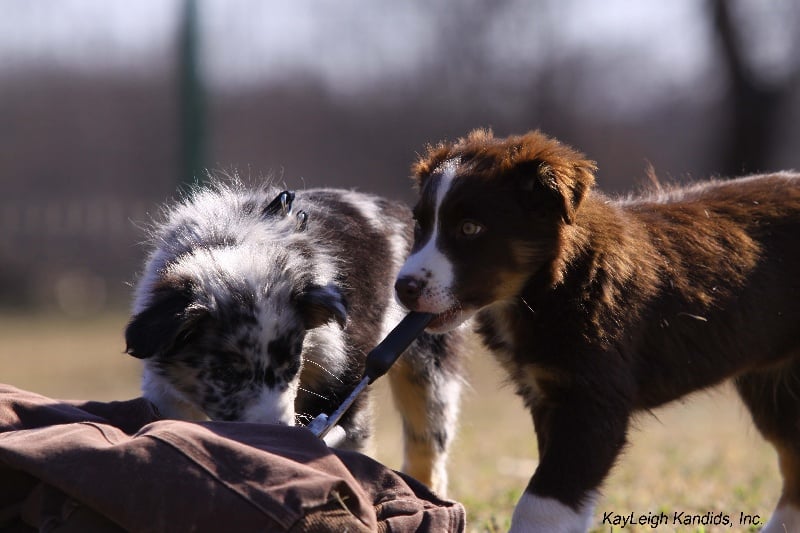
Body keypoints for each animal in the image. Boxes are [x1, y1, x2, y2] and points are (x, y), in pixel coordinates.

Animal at [123, 180, 462, 494]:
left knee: (427, 438)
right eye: (225, 375)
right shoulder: (164, 388)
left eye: (291, 367)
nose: (276, 440)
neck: (238, 245)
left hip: (429, 362)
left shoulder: (344, 378)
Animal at [394, 130, 800, 532]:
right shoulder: (546, 394)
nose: (402, 288)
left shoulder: (592, 400)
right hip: (776, 387)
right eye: (420, 225)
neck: (554, 283)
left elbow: (542, 502)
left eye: (470, 228)